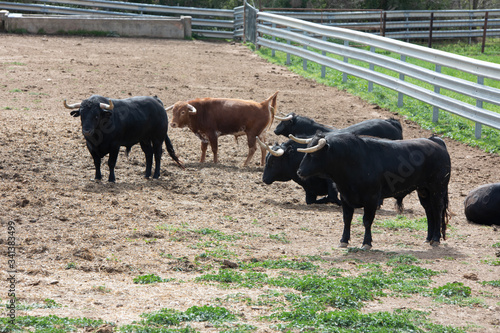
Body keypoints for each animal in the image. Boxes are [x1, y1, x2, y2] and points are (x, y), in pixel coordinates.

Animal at [294, 132, 452, 249]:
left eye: (313, 154)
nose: (299, 172)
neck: (354, 161)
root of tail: (436, 142)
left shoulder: (371, 199)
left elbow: (367, 221)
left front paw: (366, 243)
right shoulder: (345, 197)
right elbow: (347, 219)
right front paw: (343, 240)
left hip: (438, 189)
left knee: (437, 211)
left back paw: (436, 239)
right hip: (423, 191)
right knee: (429, 212)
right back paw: (428, 238)